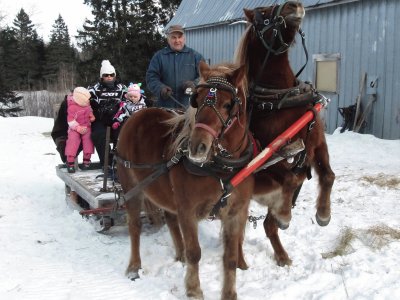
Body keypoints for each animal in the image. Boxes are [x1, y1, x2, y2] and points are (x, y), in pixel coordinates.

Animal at [115, 61, 253, 300]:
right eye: (197, 100)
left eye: (228, 105)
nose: (197, 146)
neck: (222, 168)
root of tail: (138, 113)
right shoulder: (188, 210)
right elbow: (195, 252)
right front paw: (194, 289)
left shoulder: (235, 212)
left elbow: (230, 258)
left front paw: (229, 294)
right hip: (132, 188)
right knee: (134, 227)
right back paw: (134, 267)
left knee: (170, 220)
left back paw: (179, 256)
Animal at [234, 1, 334, 266]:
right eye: (263, 14)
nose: (295, 5)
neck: (281, 101)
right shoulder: (270, 159)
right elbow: (289, 178)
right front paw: (286, 216)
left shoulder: (317, 145)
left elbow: (328, 175)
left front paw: (323, 214)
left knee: (267, 226)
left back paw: (281, 255)